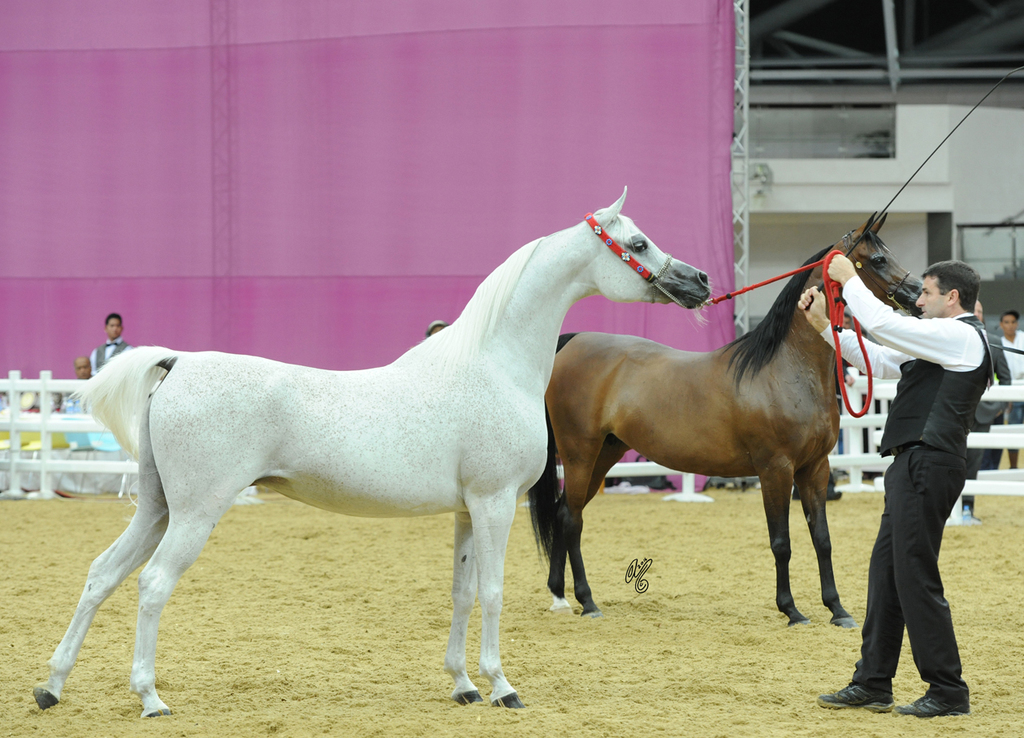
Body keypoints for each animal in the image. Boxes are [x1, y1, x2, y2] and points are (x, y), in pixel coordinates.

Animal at [32, 189, 710, 717]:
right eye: (640, 242)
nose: (699, 281)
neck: (492, 365)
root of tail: (179, 364)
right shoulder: (494, 503)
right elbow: (492, 591)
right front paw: (502, 687)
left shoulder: (467, 510)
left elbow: (462, 592)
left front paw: (463, 684)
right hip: (196, 513)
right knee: (151, 584)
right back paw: (150, 697)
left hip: (157, 508)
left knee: (101, 575)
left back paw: (52, 687)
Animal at [528, 214, 922, 625]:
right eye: (877, 259)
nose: (916, 293)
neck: (785, 367)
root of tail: (571, 345)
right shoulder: (776, 469)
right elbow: (781, 542)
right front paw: (791, 609)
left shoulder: (815, 468)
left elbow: (823, 540)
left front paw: (837, 609)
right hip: (580, 455)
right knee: (572, 520)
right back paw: (587, 601)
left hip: (603, 455)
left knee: (562, 512)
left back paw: (560, 596)